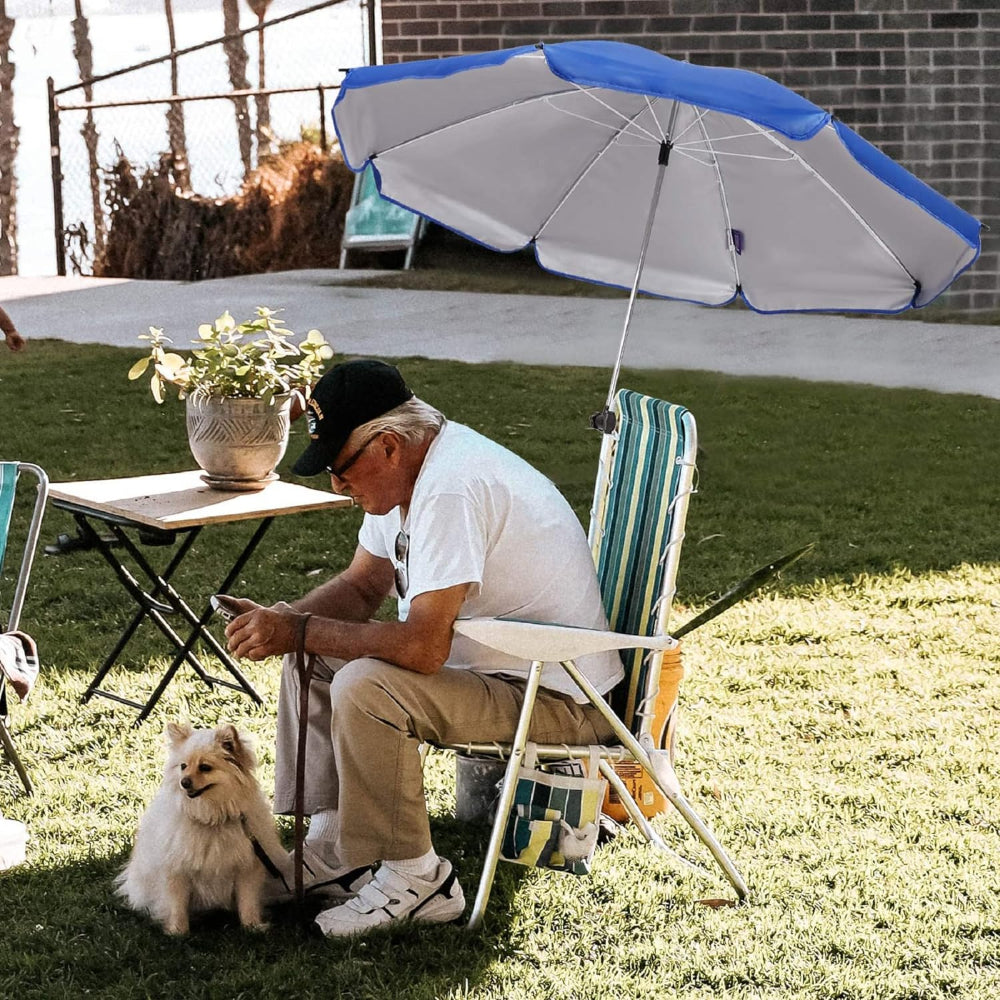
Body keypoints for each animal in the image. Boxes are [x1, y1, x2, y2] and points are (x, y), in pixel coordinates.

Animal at [119, 724, 290, 932]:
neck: (211, 817)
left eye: (205, 767)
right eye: (183, 766)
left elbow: (247, 900)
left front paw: (252, 926)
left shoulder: (247, 866)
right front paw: (178, 932)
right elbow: (177, 905)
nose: (184, 782)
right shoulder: (176, 870)